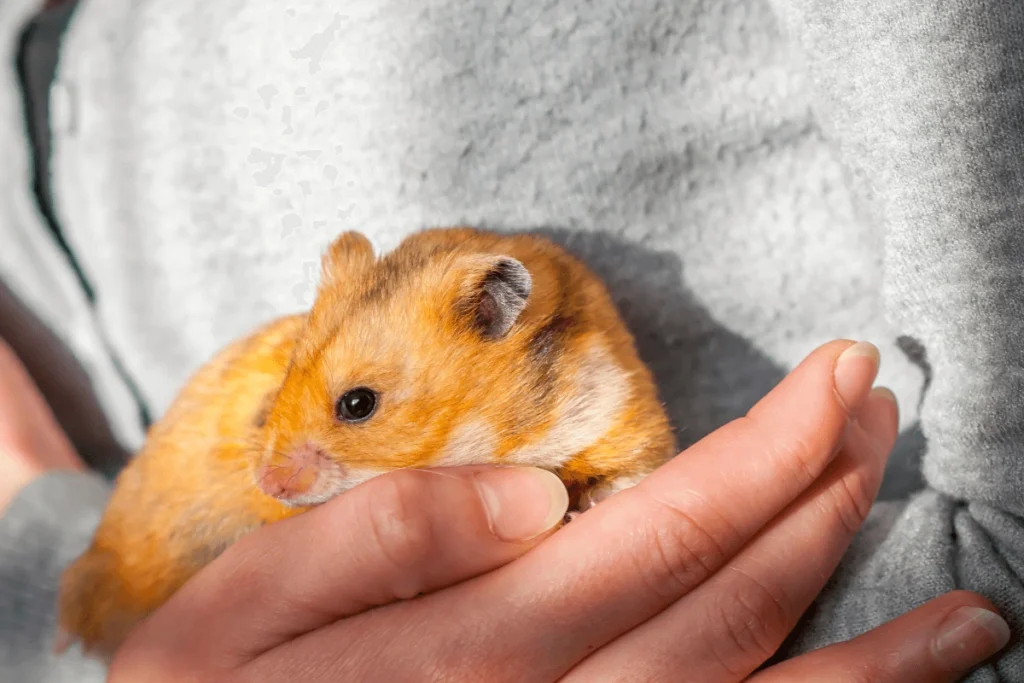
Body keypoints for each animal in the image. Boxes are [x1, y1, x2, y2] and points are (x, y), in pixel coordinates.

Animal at [58, 227, 679, 659]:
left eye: (358, 404)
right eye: (280, 389)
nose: (270, 485)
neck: (497, 433)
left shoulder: (615, 412)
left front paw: (590, 504)